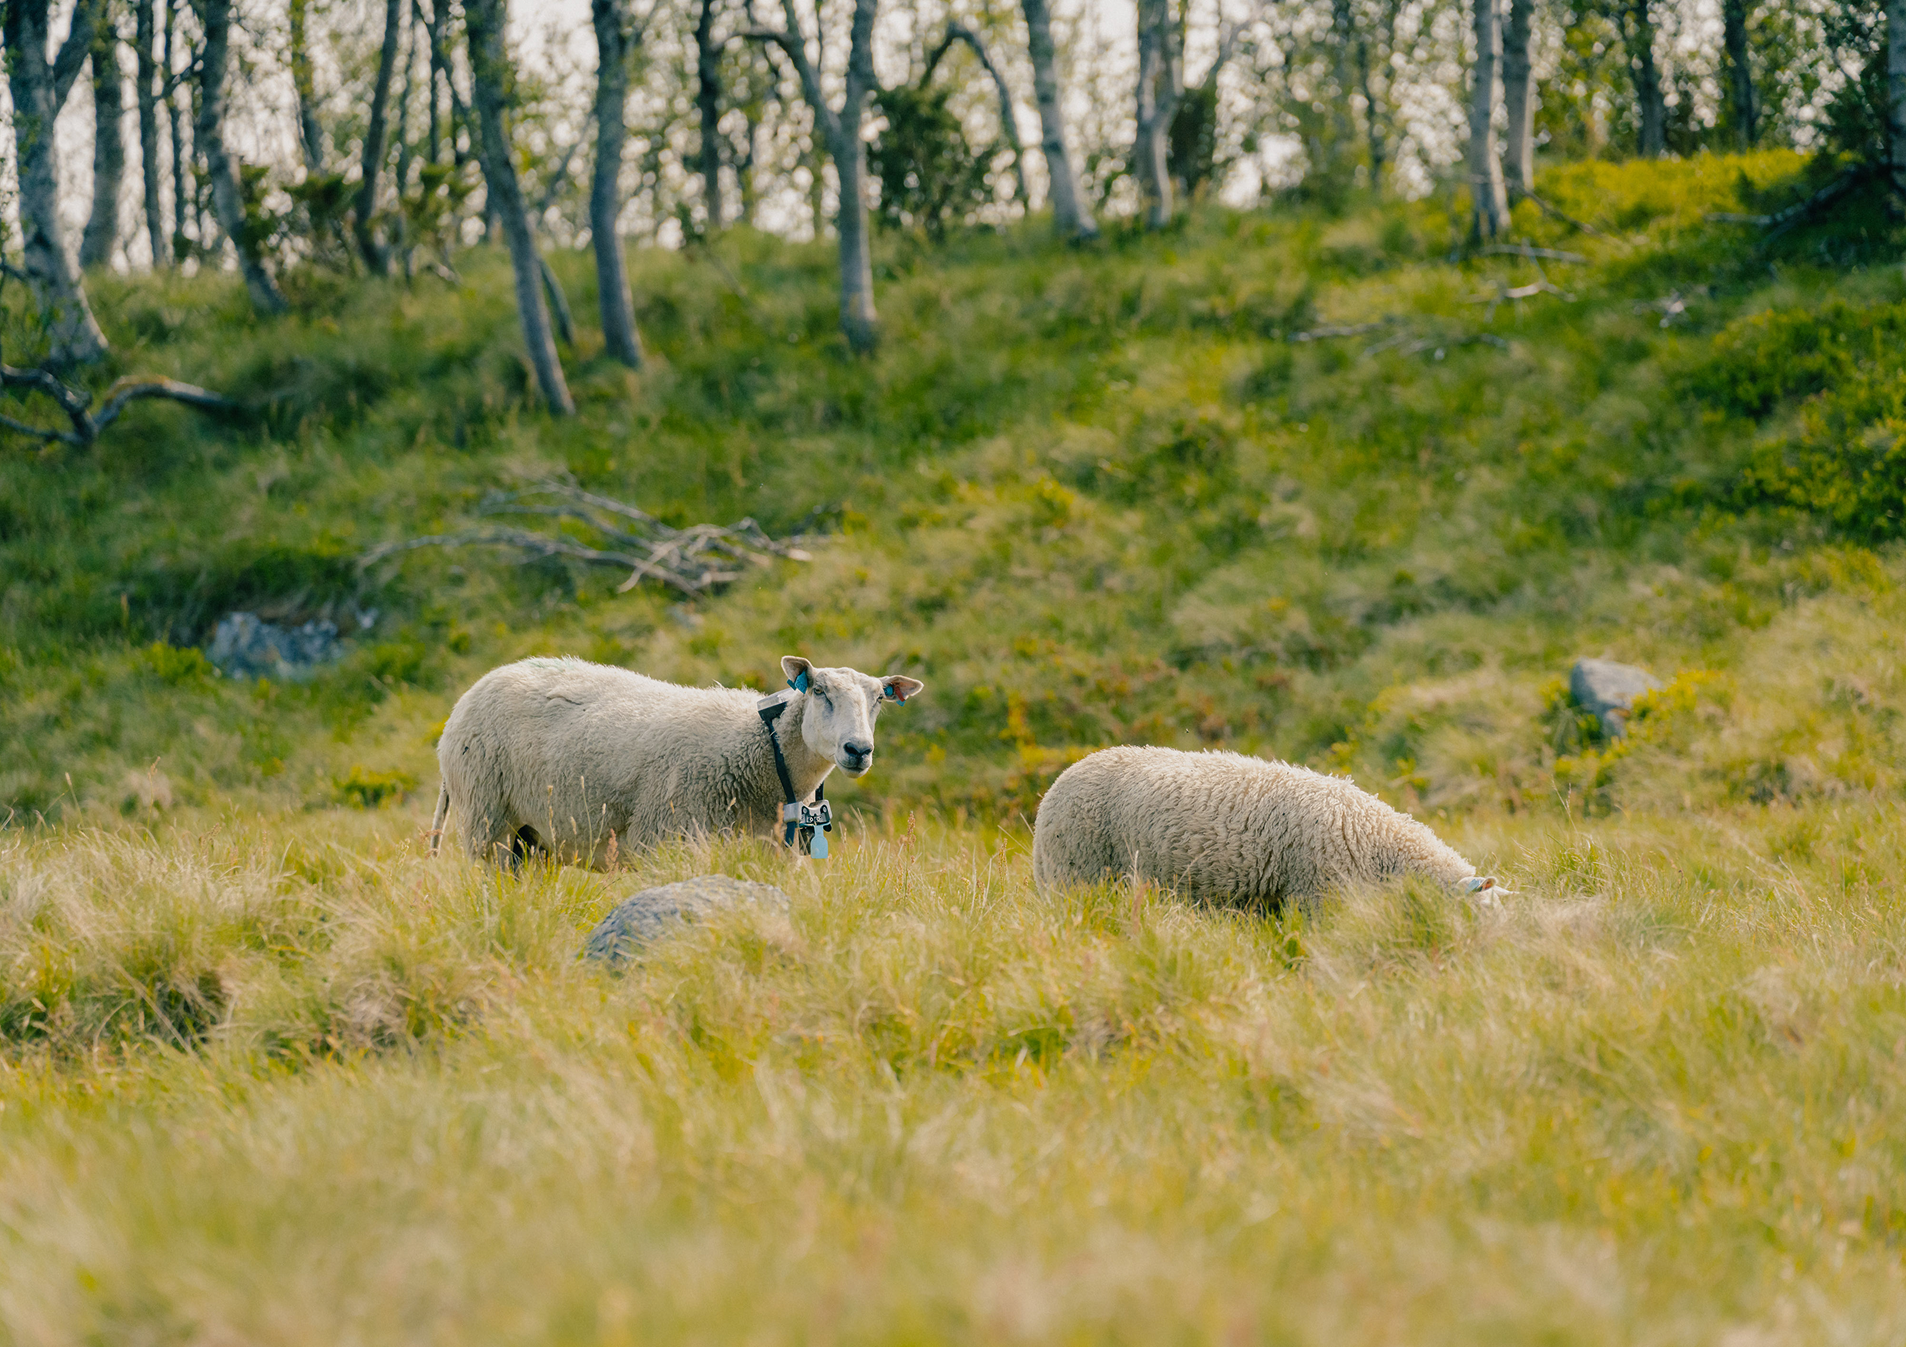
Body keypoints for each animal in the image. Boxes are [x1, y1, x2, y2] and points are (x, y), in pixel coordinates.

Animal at [429, 655, 925, 867]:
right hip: (487, 820)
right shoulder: (663, 839)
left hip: (532, 839)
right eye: (819, 691)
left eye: (879, 699)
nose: (858, 750)